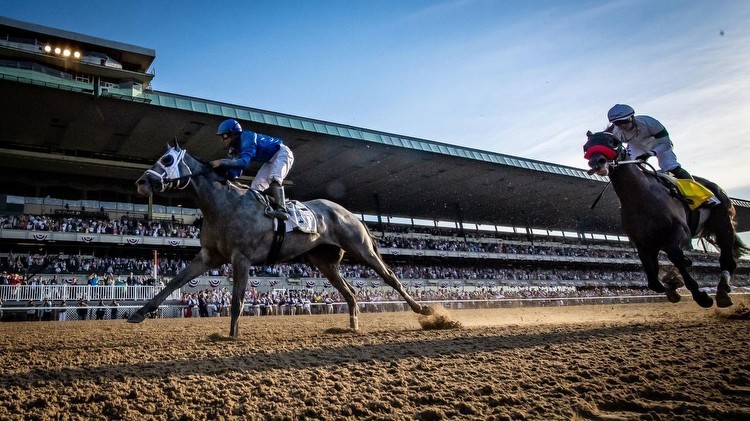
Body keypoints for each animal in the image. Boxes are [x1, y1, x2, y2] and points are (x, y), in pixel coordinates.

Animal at [129, 143, 434, 336]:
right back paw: (352, 326)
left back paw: (423, 310)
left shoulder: (241, 258)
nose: (141, 182)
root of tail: (349, 213)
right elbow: (174, 283)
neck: (223, 205)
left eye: (167, 160)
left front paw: (231, 335)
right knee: (350, 291)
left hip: (360, 248)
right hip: (324, 262)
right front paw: (139, 313)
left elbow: (237, 298)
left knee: (390, 277)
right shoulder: (208, 256)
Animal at [584, 131, 748, 308]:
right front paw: (673, 283)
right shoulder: (644, 244)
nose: (597, 162)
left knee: (727, 260)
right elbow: (654, 282)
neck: (641, 197)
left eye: (613, 142)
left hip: (723, 224)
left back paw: (723, 291)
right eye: (586, 146)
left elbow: (676, 256)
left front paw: (701, 296)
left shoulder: (681, 232)